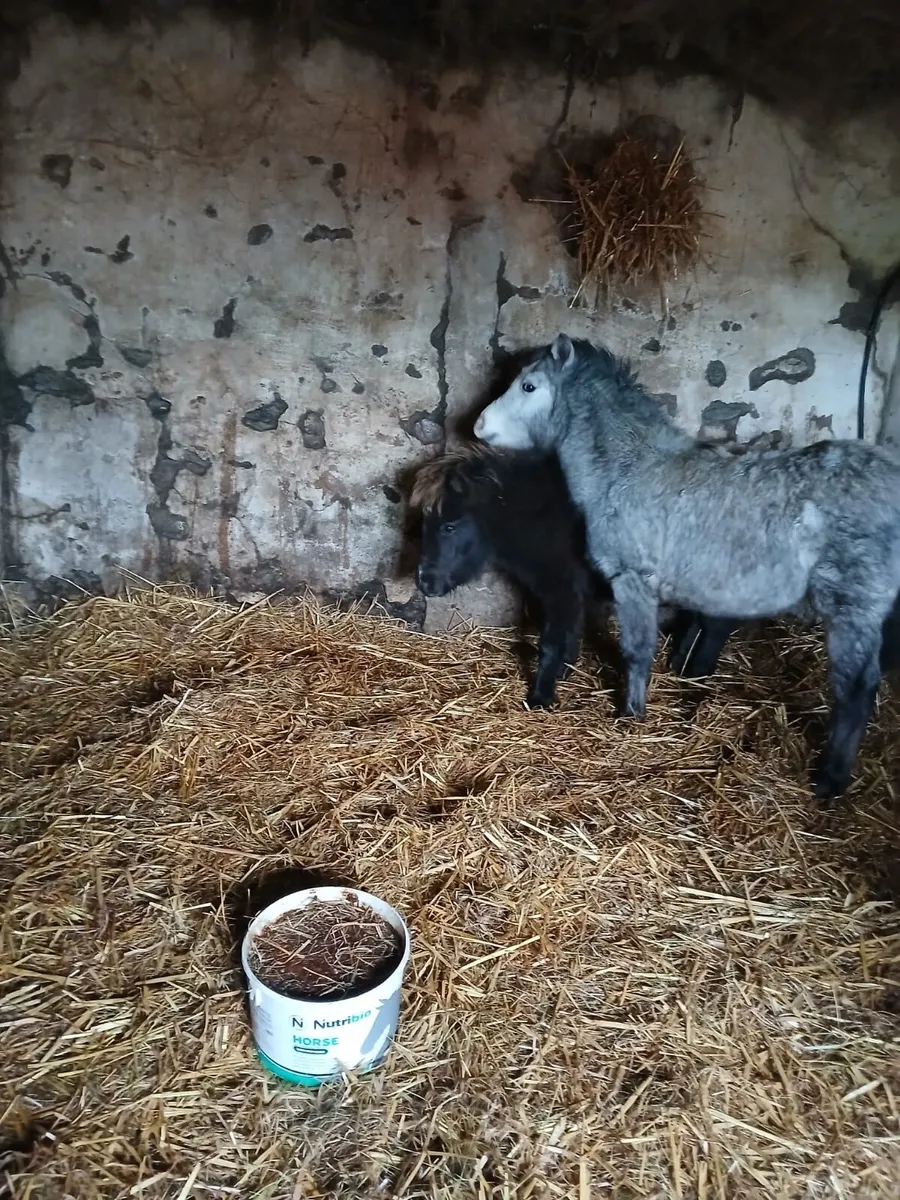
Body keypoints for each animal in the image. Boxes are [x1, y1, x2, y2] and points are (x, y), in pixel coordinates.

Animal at [409, 445, 739, 708]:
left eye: (449, 526)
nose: (424, 582)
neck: (538, 514)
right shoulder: (571, 592)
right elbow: (570, 633)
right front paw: (563, 672)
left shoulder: (562, 588)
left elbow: (552, 642)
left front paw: (540, 697)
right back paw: (680, 663)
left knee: (716, 625)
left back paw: (698, 670)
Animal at [473, 333, 900, 798]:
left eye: (529, 386)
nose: (478, 425)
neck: (628, 469)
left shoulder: (633, 582)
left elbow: (637, 651)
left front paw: (630, 715)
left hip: (852, 610)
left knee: (855, 689)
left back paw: (829, 781)